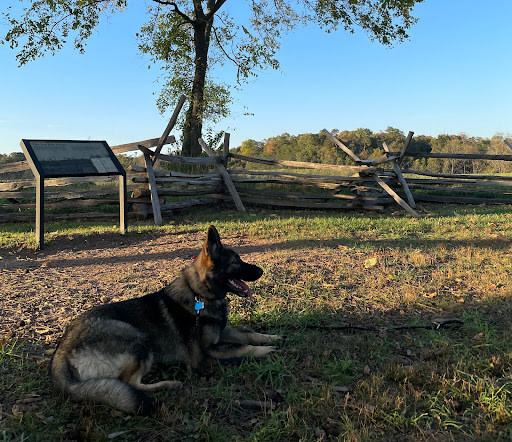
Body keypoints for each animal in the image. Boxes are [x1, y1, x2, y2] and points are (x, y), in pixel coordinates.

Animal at [50, 226, 282, 412]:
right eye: (236, 262)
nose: (261, 270)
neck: (200, 294)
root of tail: (61, 351)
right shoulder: (206, 353)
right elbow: (242, 347)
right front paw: (265, 351)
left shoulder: (221, 332)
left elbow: (247, 334)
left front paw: (271, 338)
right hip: (137, 340)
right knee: (130, 383)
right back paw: (169, 384)